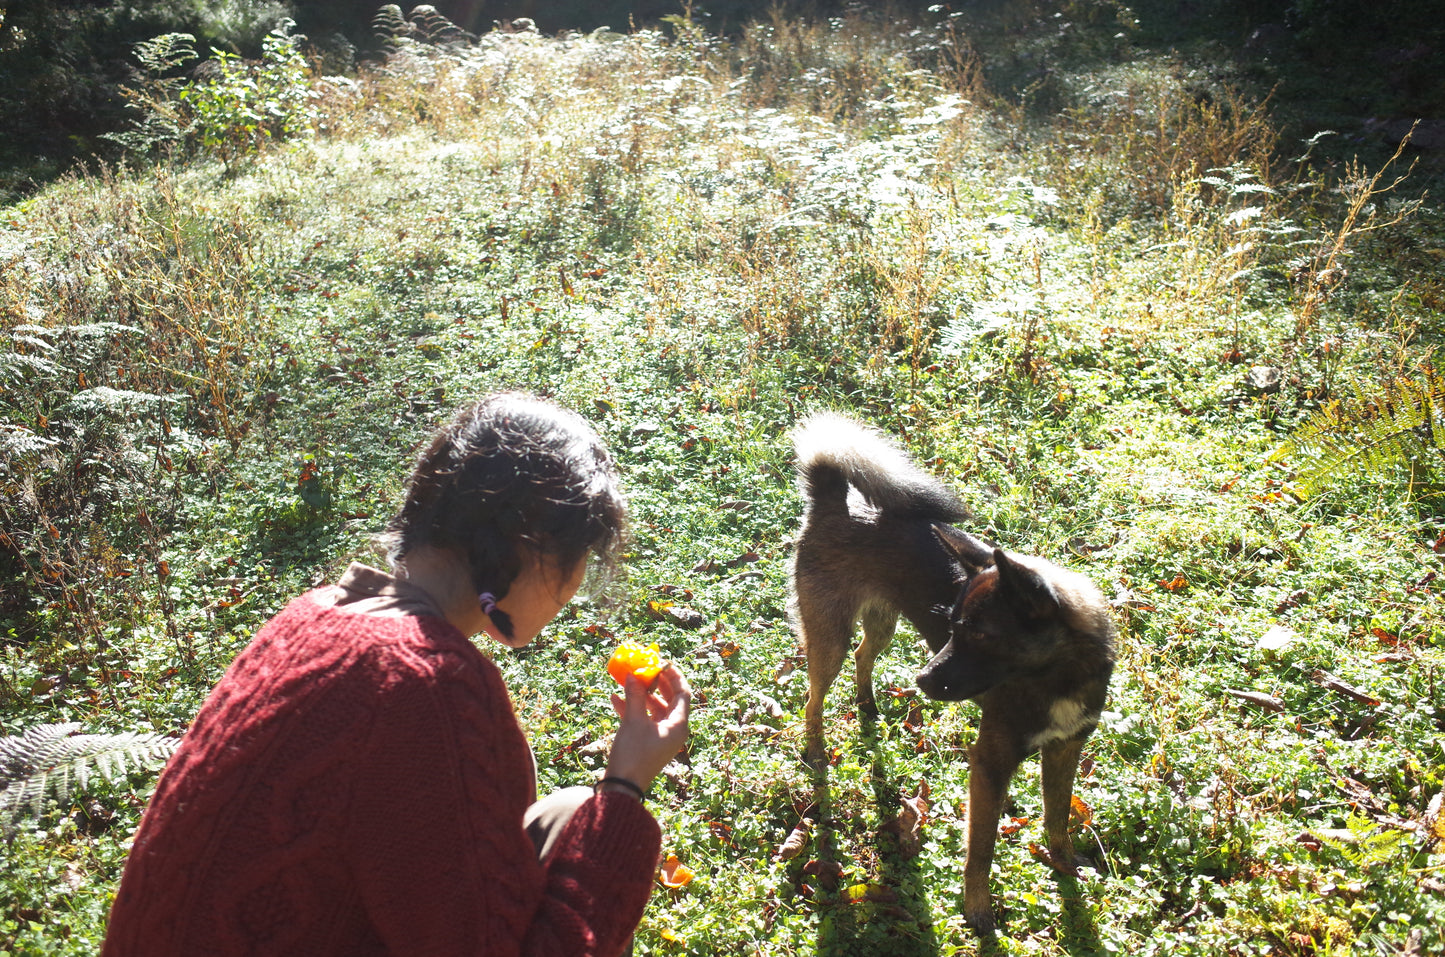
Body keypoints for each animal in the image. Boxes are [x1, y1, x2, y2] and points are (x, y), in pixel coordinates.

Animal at [791, 413, 1115, 936]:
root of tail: (831, 500)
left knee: (863, 657)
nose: (921, 682)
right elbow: (980, 849)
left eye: (979, 634)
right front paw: (978, 911)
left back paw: (867, 707)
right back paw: (817, 752)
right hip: (829, 641)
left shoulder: (1066, 749)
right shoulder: (990, 764)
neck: (1054, 679)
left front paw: (1066, 866)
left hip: (881, 623)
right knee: (813, 700)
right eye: (952, 625)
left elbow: (1058, 818)